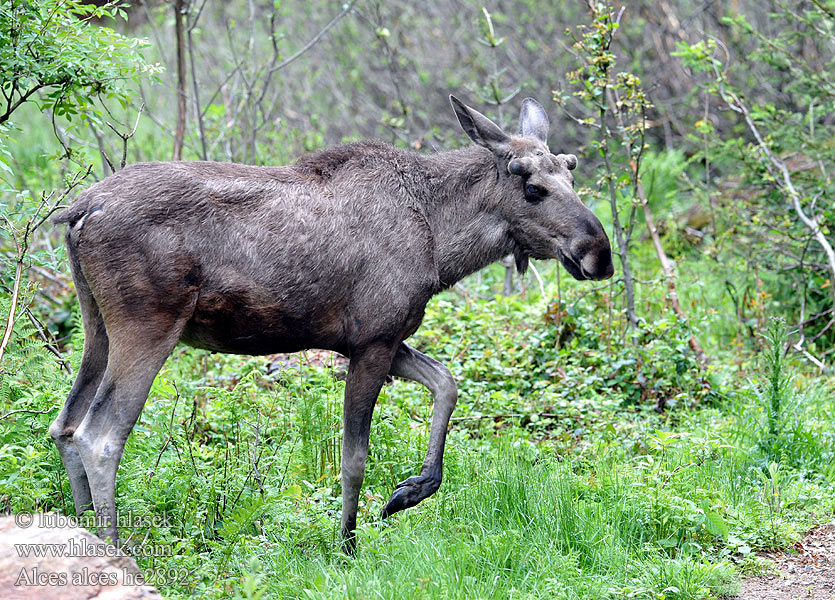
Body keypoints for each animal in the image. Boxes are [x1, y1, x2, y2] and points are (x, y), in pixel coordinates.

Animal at [50, 95, 612, 552]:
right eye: (532, 187)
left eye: (572, 170)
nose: (599, 254)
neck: (442, 242)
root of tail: (79, 210)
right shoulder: (374, 341)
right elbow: (354, 458)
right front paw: (347, 544)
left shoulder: (376, 338)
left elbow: (447, 384)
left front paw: (411, 490)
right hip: (147, 325)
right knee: (100, 436)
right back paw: (116, 550)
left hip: (97, 325)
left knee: (65, 424)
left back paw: (88, 537)